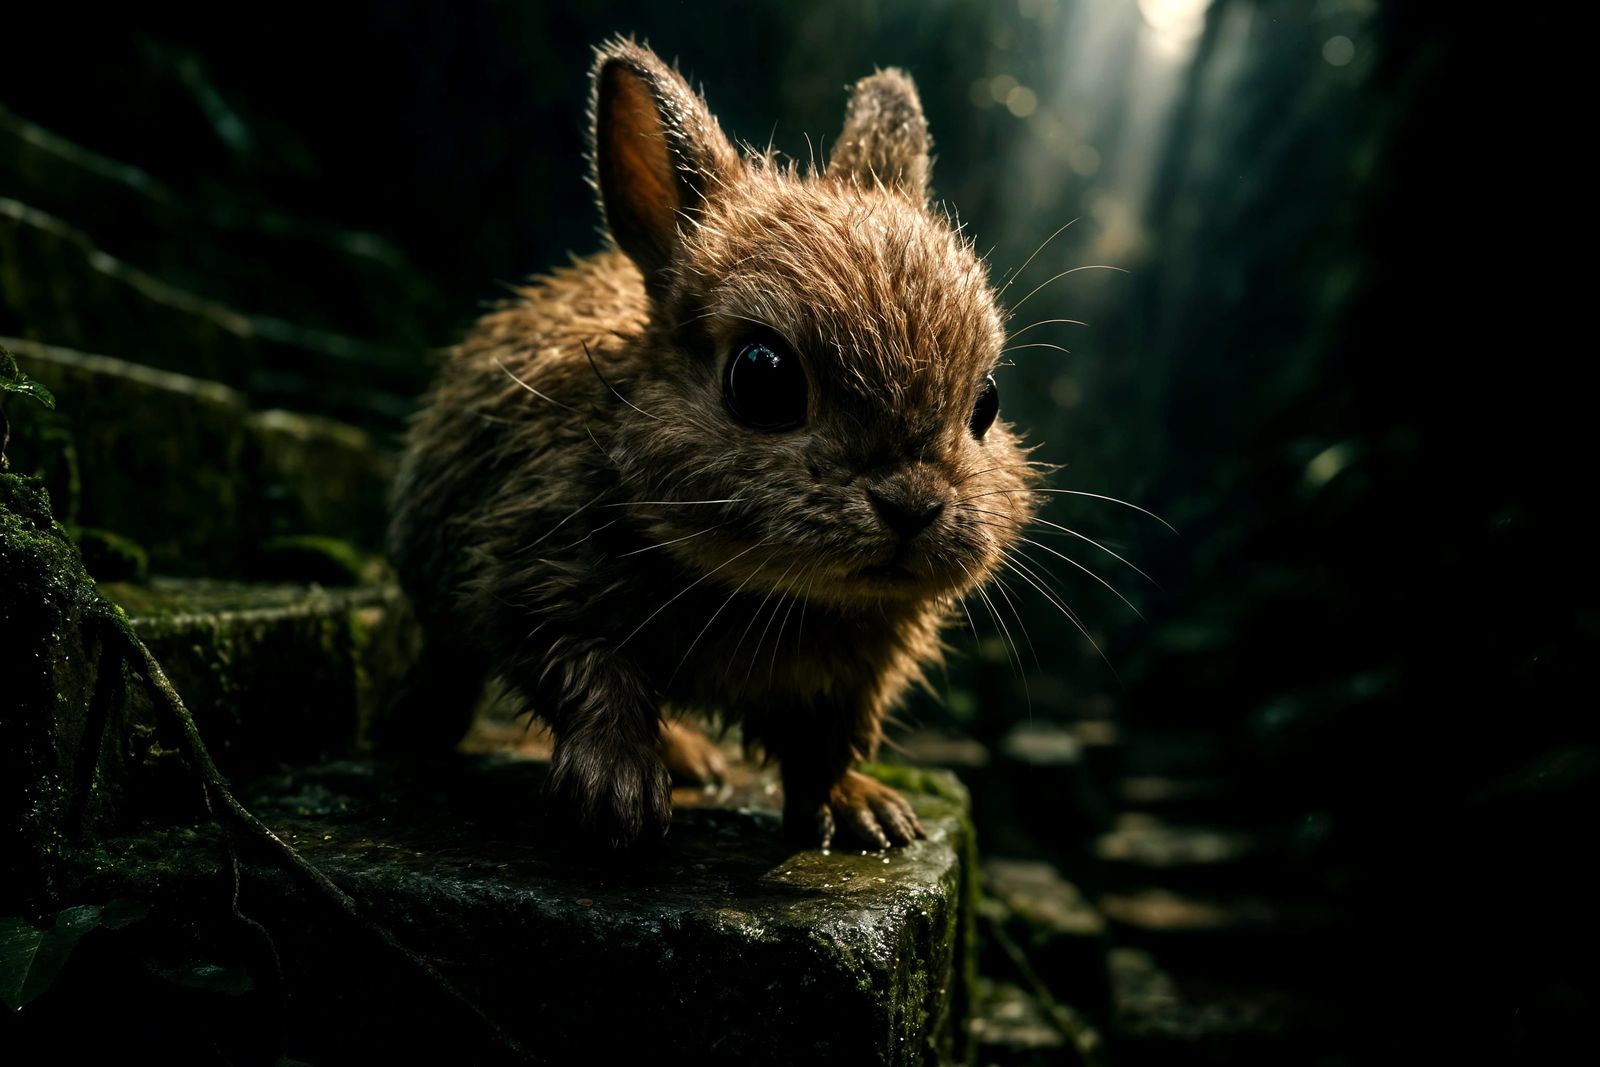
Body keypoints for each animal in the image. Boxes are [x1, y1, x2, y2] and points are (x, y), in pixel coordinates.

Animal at [387, 37, 1038, 851]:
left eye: (987, 403)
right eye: (762, 376)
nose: (913, 507)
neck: (768, 588)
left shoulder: (851, 682)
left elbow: (825, 746)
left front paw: (866, 813)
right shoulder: (530, 580)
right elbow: (590, 675)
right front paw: (616, 795)